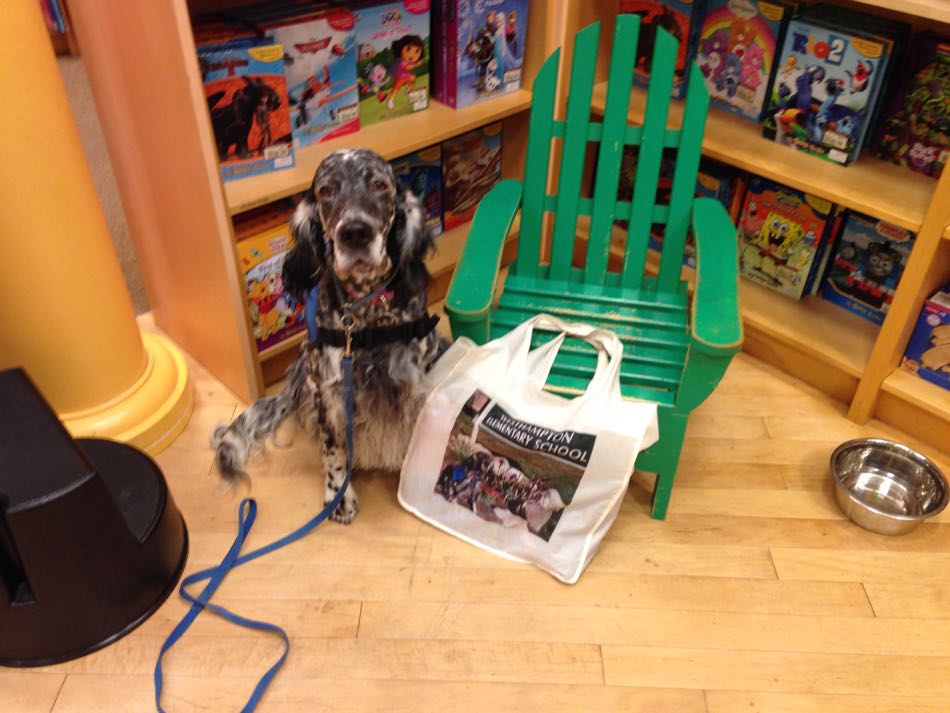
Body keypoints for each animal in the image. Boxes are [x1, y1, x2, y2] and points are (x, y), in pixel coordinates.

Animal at [215, 146, 450, 524]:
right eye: (327, 190)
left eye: (380, 184)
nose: (355, 233)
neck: (366, 315)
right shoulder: (326, 390)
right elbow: (334, 450)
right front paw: (338, 496)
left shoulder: (415, 377)